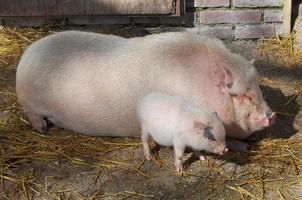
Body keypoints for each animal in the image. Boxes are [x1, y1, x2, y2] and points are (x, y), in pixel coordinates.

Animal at [15, 31, 276, 141]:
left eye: (258, 89)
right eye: (243, 96)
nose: (271, 115)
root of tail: (27, 54)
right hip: (30, 101)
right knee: (32, 113)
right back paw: (43, 129)